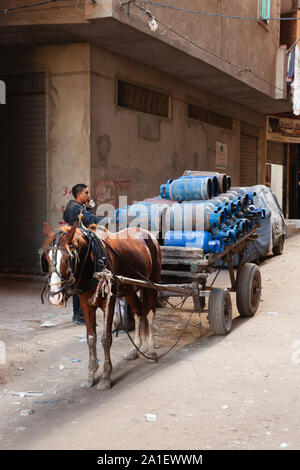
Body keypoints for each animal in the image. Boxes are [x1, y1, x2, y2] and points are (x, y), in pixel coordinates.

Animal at [41, 222, 162, 392]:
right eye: (46, 257)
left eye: (68, 257)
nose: (55, 296)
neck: (92, 263)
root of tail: (148, 234)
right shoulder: (85, 304)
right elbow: (91, 338)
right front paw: (91, 375)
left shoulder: (109, 302)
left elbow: (106, 339)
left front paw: (106, 377)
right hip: (129, 288)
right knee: (138, 312)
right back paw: (135, 349)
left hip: (152, 283)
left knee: (150, 314)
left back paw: (151, 351)